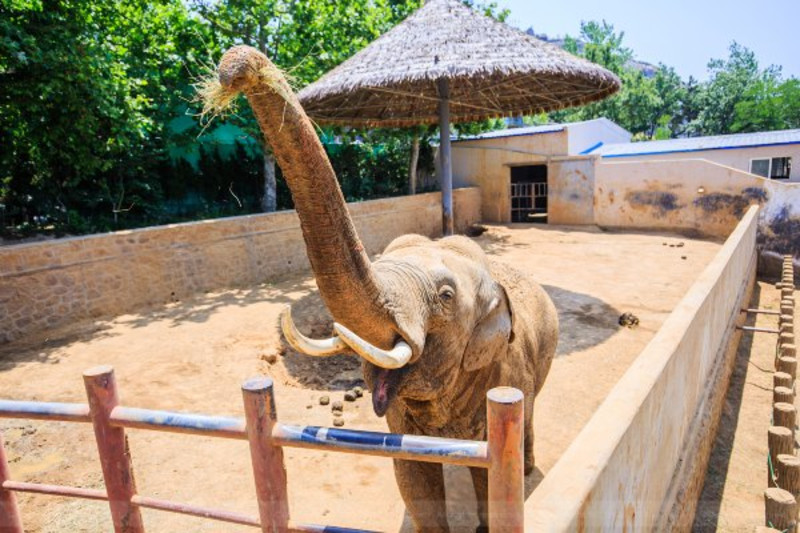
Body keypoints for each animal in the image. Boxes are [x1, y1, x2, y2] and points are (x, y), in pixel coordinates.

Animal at [216, 45, 560, 532]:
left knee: (529, 413)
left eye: (446, 298)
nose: (235, 67)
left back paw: (527, 468)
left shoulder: (503, 373)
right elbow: (412, 476)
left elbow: (487, 481)